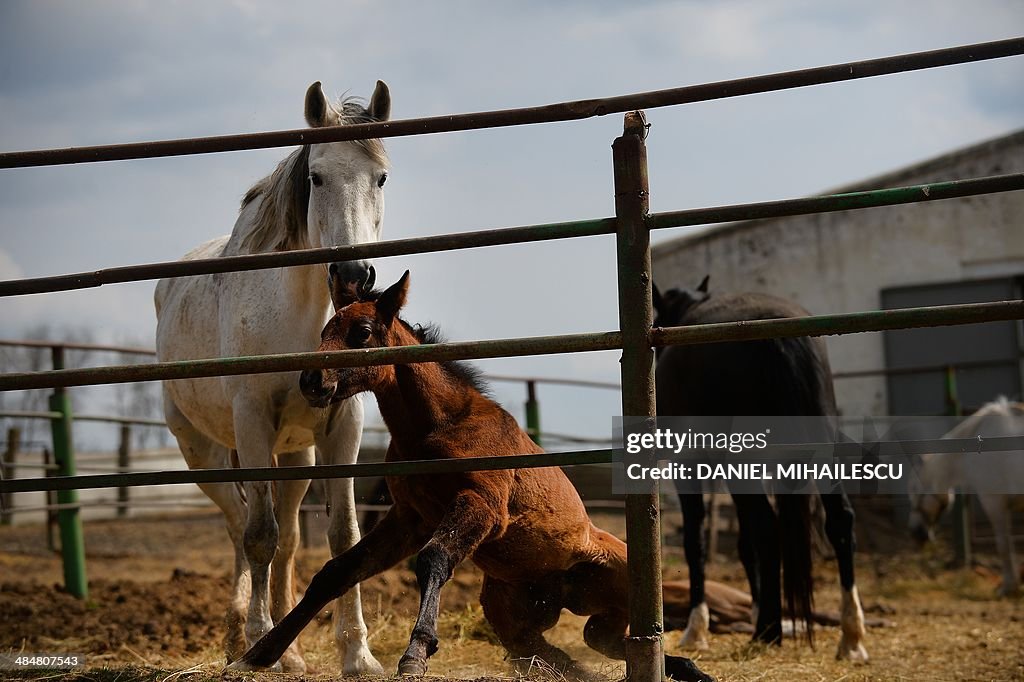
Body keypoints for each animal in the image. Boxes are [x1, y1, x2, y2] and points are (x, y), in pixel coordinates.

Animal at [154, 78, 391, 667]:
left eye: (380, 177)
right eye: (316, 176)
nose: (355, 273)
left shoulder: (342, 427)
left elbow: (341, 537)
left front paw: (356, 654)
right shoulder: (254, 422)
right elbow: (258, 535)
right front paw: (257, 642)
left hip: (296, 456)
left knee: (285, 540)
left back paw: (290, 649)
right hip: (204, 454)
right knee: (242, 527)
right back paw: (244, 634)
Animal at [227, 270, 712, 679]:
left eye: (361, 332)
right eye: (325, 330)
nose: (311, 380)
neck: (440, 425)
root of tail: (560, 593)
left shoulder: (481, 504)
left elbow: (435, 559)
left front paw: (416, 653)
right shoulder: (409, 518)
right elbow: (337, 572)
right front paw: (258, 654)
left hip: (617, 591)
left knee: (608, 643)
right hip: (524, 615)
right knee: (562, 651)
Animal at [655, 274, 864, 659]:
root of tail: (778, 336)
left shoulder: (689, 465)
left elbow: (697, 541)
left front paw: (697, 629)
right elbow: (743, 544)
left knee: (767, 527)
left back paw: (768, 630)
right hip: (819, 453)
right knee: (839, 521)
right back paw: (851, 637)